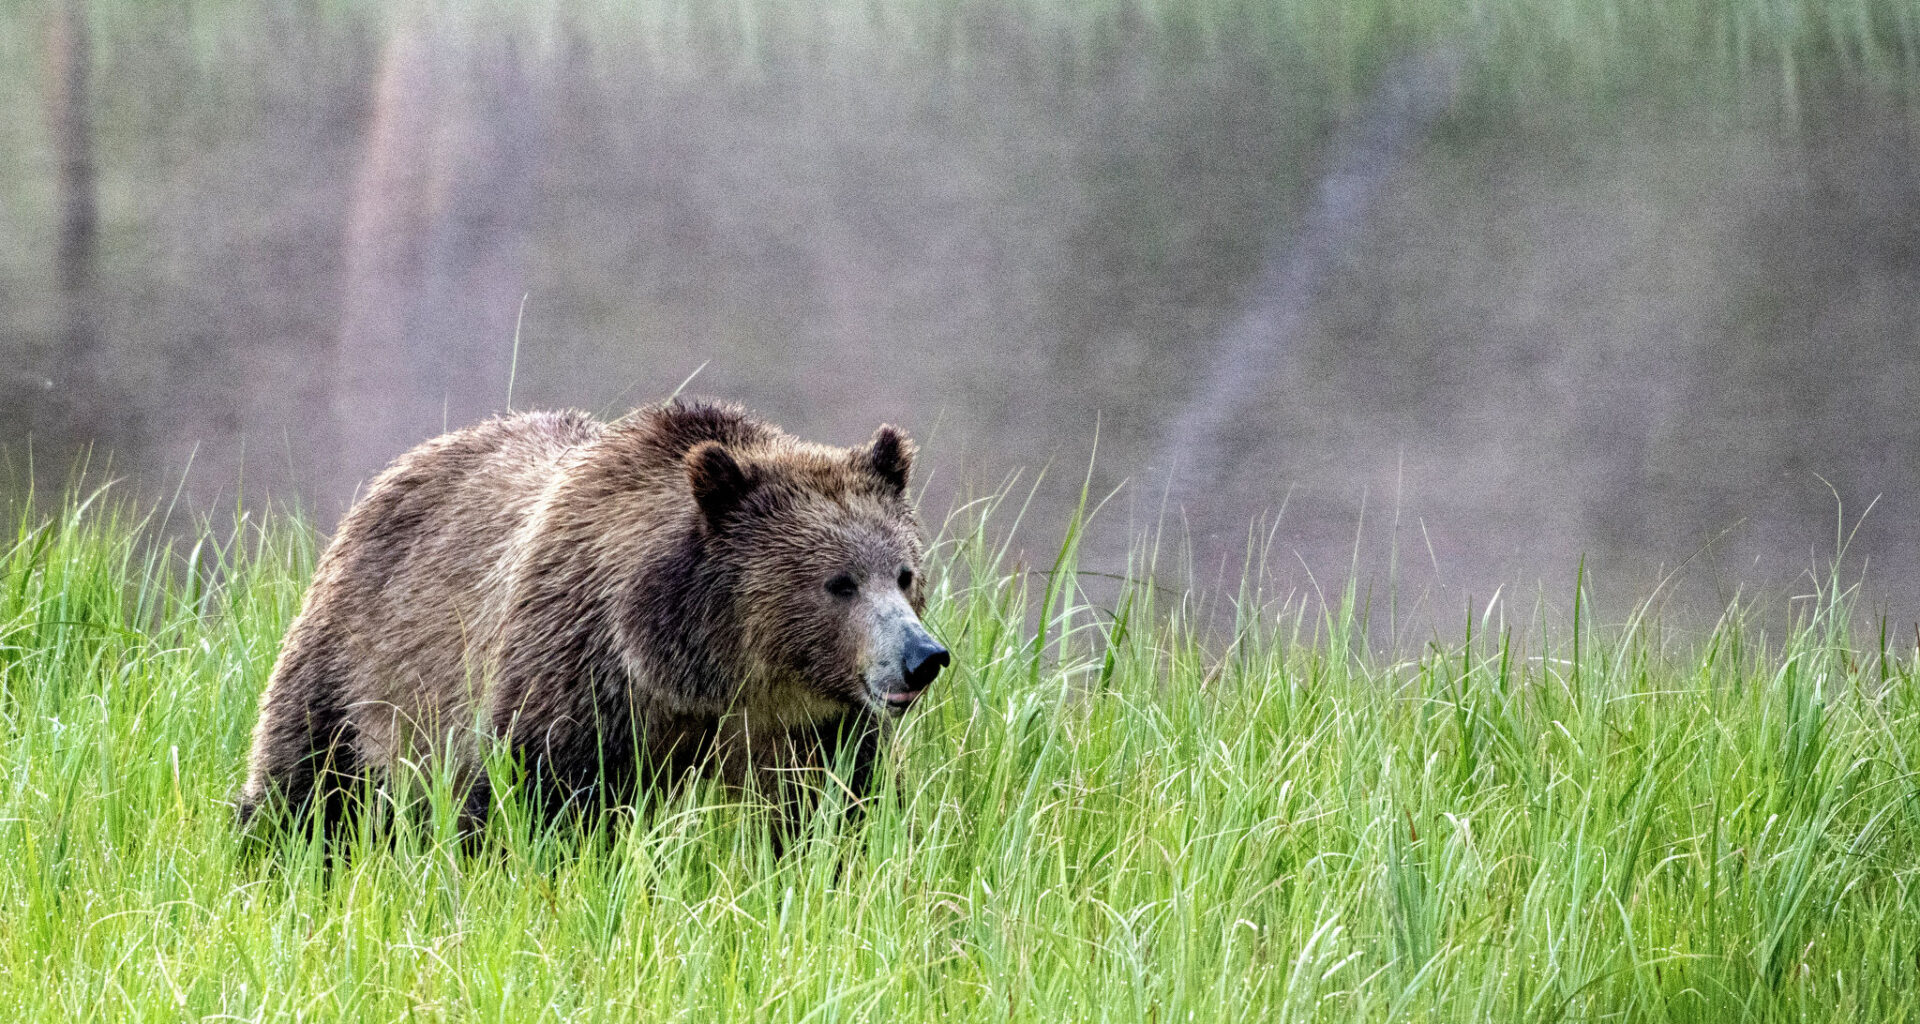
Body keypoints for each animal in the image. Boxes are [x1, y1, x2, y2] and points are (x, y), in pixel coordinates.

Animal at [236, 398, 949, 834]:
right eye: (839, 583)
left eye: (904, 574)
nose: (923, 657)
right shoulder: (575, 676)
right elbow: (533, 803)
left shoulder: (812, 732)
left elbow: (831, 818)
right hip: (361, 663)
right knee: (305, 786)